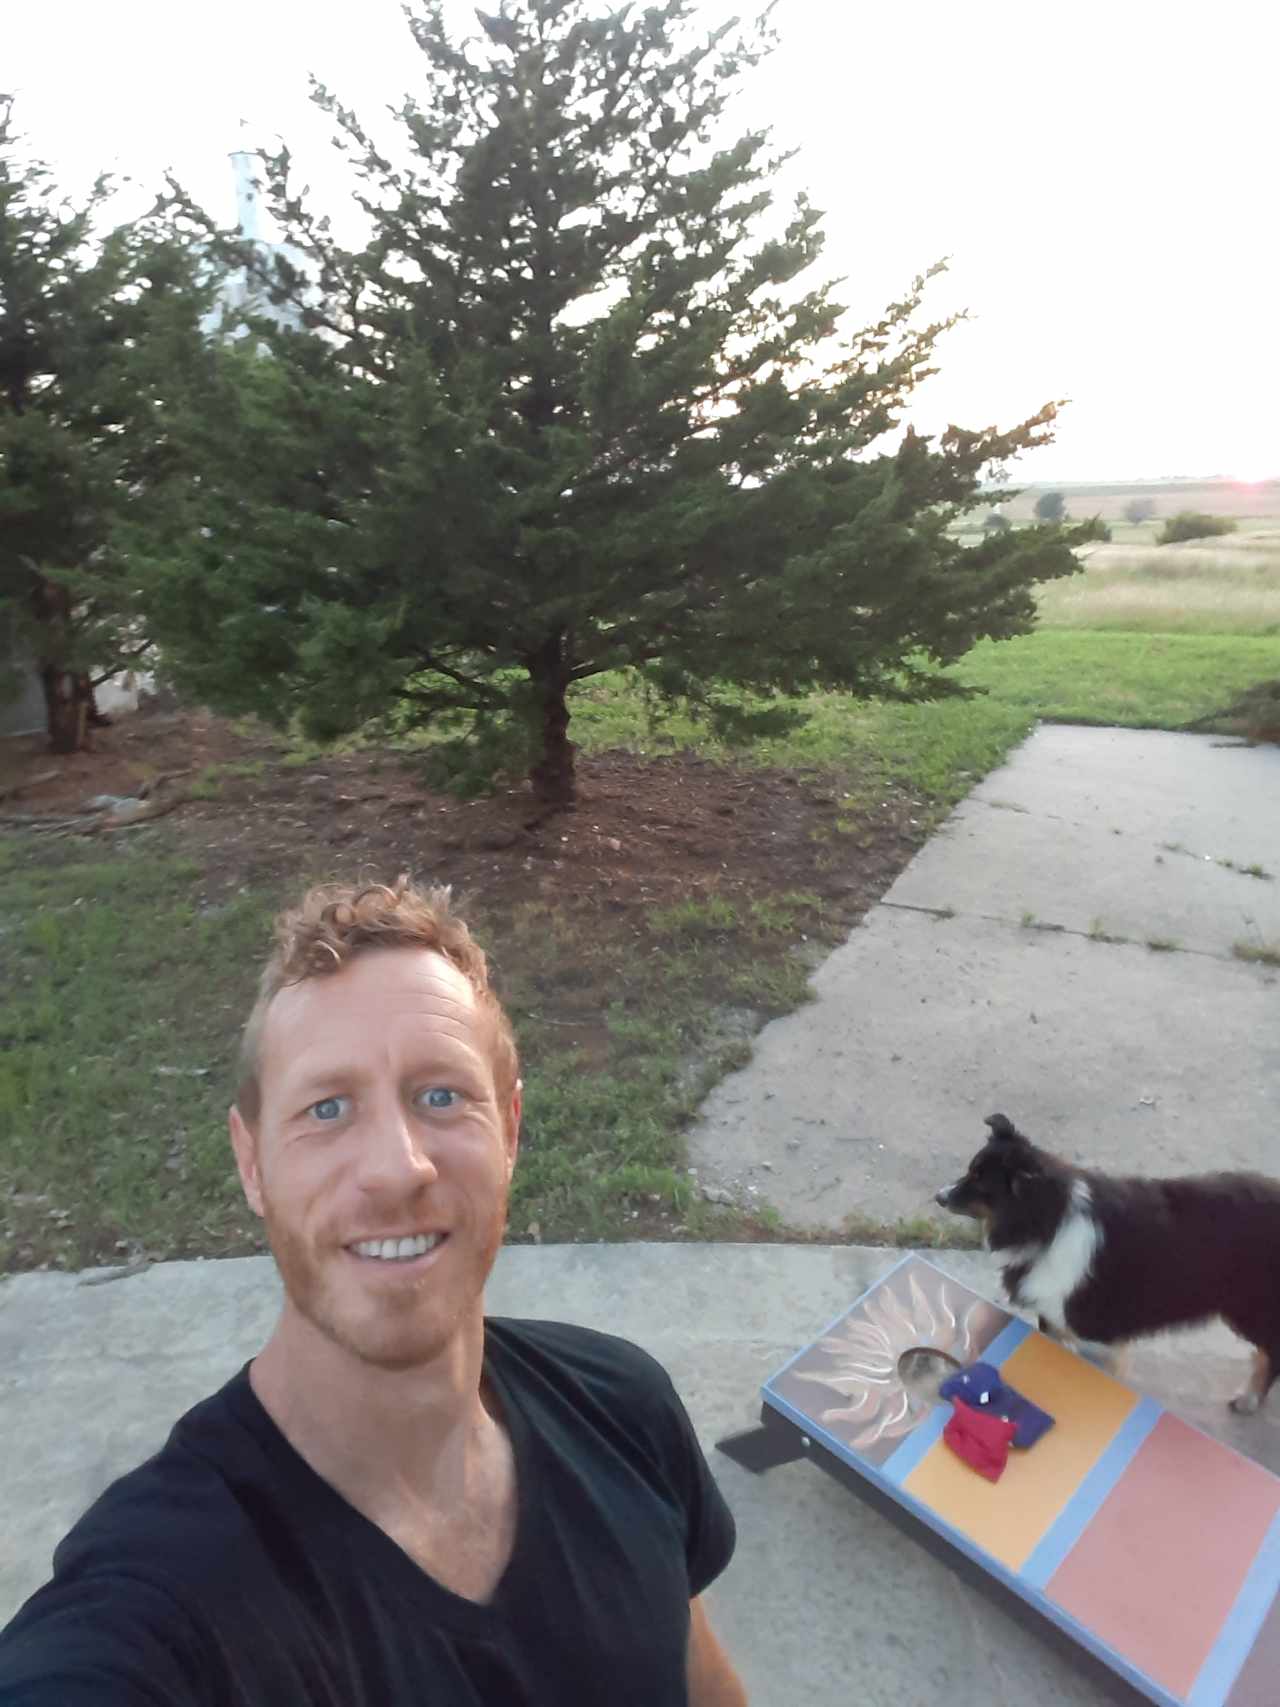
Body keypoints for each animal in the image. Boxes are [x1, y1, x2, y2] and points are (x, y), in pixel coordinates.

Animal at [935, 1112, 1280, 1406]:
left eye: (980, 1182)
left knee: (1271, 1353)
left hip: (1250, 1308)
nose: (938, 1196)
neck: (1047, 1224)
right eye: (970, 1170)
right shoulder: (1053, 1316)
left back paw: (1248, 1399)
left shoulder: (1094, 1332)